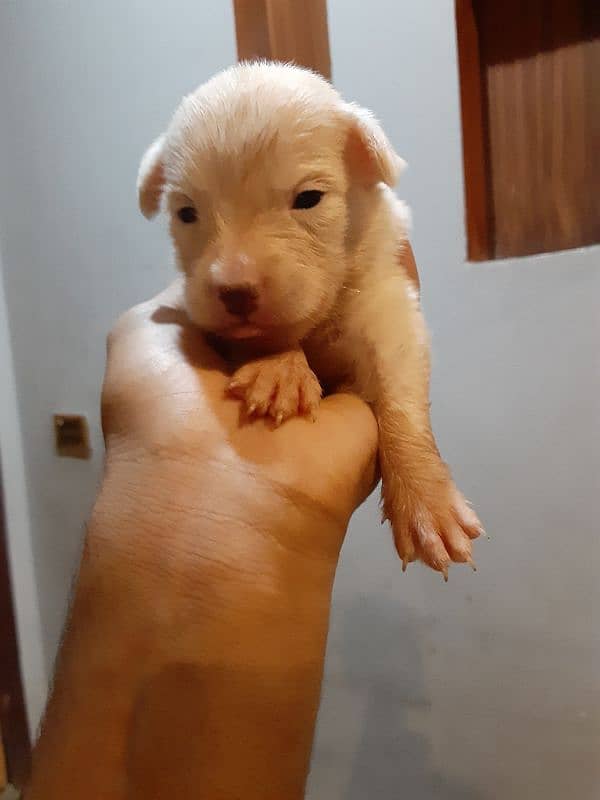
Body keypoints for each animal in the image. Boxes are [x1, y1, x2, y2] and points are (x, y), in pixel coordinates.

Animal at [137, 61, 482, 576]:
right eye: (186, 213)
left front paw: (427, 503)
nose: (234, 290)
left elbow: (400, 400)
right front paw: (279, 369)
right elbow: (266, 337)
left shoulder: (388, 306)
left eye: (309, 198)